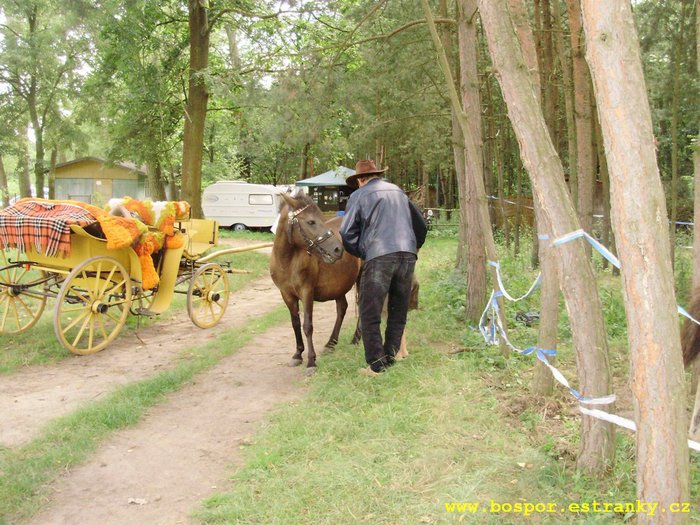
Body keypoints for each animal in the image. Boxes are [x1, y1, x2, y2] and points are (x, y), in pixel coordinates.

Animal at [270, 192, 360, 372]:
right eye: (311, 222)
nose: (338, 249)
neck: (287, 261)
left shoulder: (307, 292)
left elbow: (307, 325)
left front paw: (311, 361)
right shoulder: (286, 295)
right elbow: (295, 323)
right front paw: (298, 354)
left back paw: (355, 339)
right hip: (339, 286)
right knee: (342, 308)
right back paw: (331, 344)